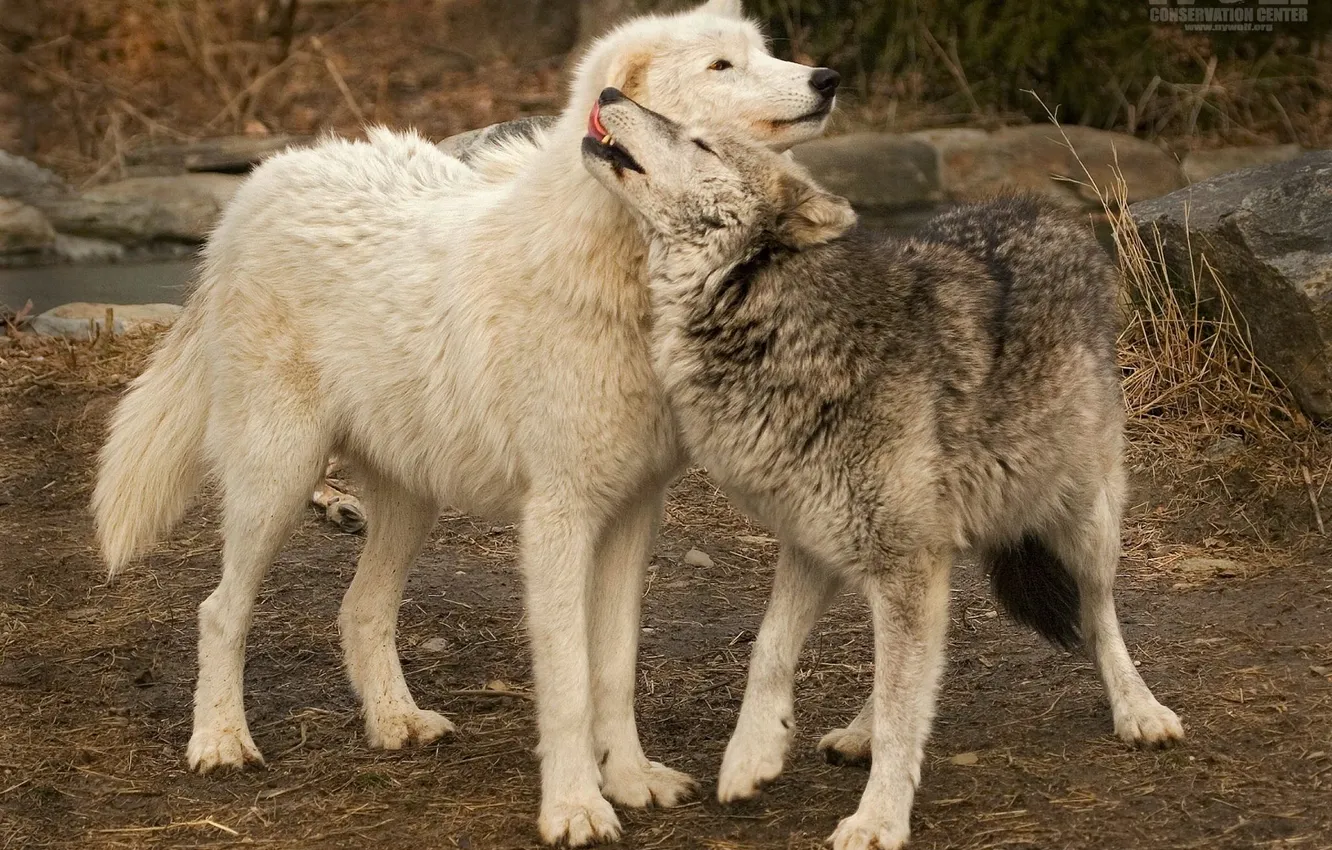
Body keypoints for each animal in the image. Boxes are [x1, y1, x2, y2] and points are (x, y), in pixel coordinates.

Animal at [91, 1, 838, 844]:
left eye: (766, 51)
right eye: (721, 66)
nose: (827, 79)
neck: (628, 272)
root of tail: (261, 183)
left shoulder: (634, 511)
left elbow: (614, 667)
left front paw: (632, 779)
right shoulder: (558, 516)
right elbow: (569, 681)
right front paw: (576, 807)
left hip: (411, 498)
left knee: (360, 609)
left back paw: (396, 723)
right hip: (276, 479)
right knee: (220, 610)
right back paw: (220, 741)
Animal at [582, 90, 1184, 849]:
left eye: (701, 143)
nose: (609, 96)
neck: (777, 322)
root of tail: (1042, 209)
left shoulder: (901, 560)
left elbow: (905, 711)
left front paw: (878, 818)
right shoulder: (816, 541)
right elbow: (772, 651)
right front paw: (752, 756)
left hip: (1085, 520)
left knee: (1099, 614)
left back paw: (1139, 710)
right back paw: (858, 732)